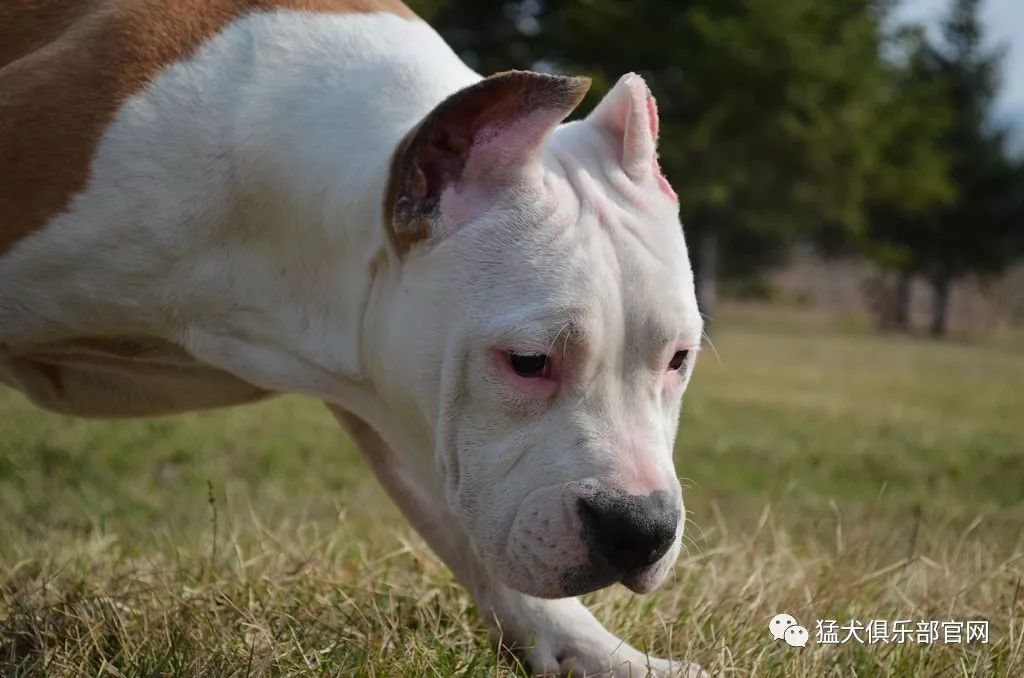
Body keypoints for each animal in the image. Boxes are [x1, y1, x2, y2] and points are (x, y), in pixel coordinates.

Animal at [0, 2, 704, 675]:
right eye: (528, 362)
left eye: (678, 359)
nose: (642, 528)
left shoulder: (408, 411)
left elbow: (467, 534)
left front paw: (603, 653)